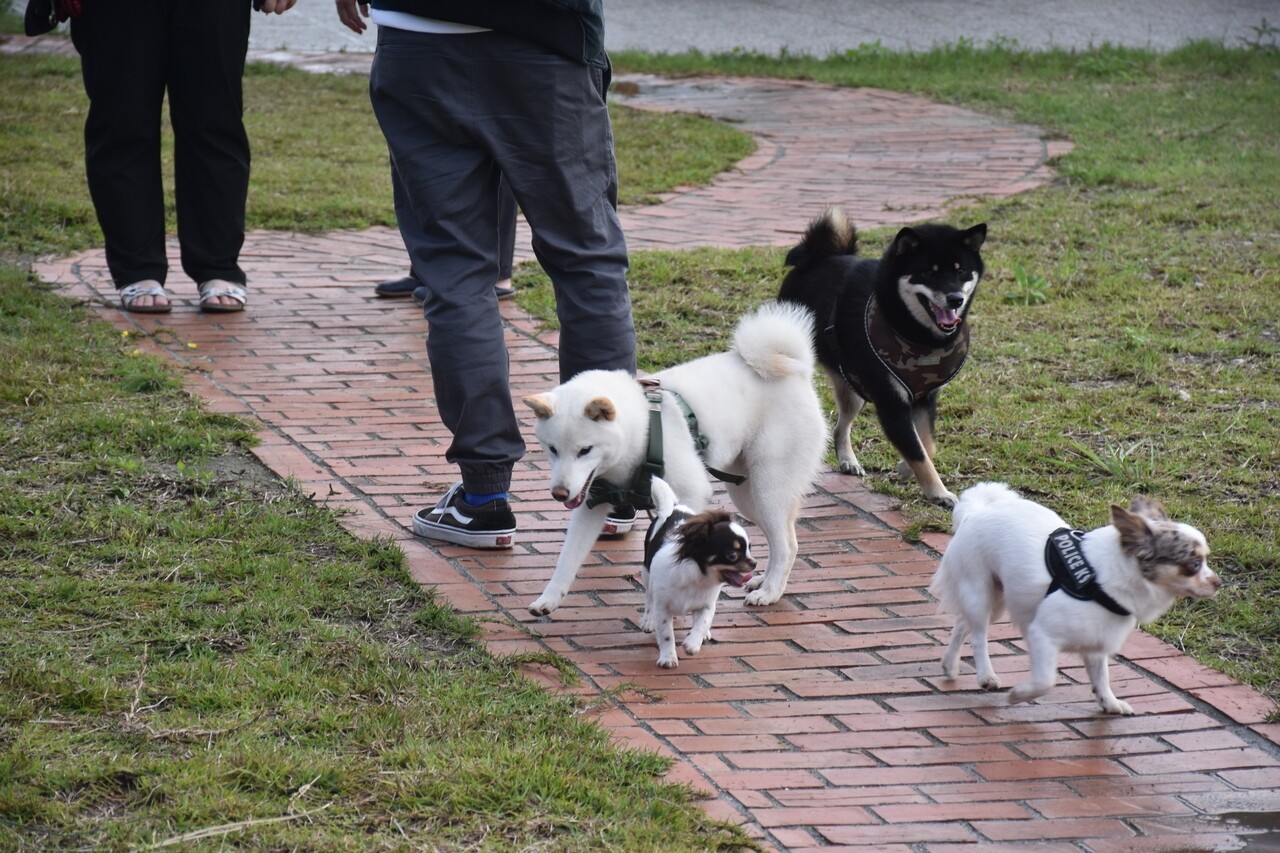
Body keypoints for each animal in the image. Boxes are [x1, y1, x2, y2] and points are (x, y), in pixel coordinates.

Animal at [773, 207, 983, 504]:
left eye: (961, 270)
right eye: (928, 273)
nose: (955, 299)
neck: (916, 335)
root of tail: (820, 256)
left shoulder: (924, 397)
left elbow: (926, 445)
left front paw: (906, 468)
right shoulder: (891, 403)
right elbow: (917, 450)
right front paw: (938, 492)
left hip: (853, 388)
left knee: (840, 426)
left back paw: (848, 459)